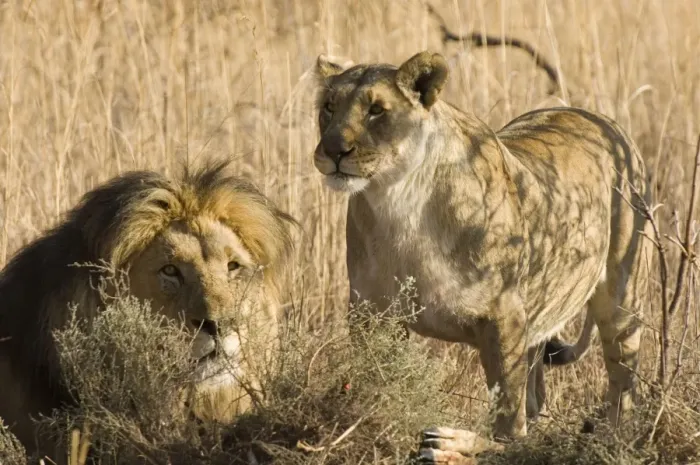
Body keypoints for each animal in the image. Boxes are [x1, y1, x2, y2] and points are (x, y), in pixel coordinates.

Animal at [312, 51, 652, 462]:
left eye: (377, 110)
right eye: (328, 108)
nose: (333, 151)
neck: (398, 202)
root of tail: (603, 120)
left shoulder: (504, 315)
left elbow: (507, 421)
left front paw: (458, 446)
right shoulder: (369, 313)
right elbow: (373, 381)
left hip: (622, 299)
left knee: (621, 386)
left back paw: (612, 439)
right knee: (538, 395)